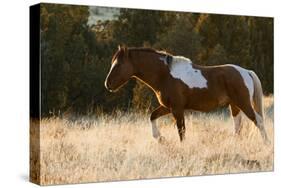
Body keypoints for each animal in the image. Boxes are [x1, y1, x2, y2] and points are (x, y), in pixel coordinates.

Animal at [103, 46, 270, 144]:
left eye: (118, 64)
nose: (107, 84)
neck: (165, 75)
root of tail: (246, 72)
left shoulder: (177, 109)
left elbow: (181, 131)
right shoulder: (167, 107)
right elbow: (152, 116)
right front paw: (160, 138)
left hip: (243, 103)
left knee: (258, 121)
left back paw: (266, 144)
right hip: (234, 105)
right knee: (238, 126)